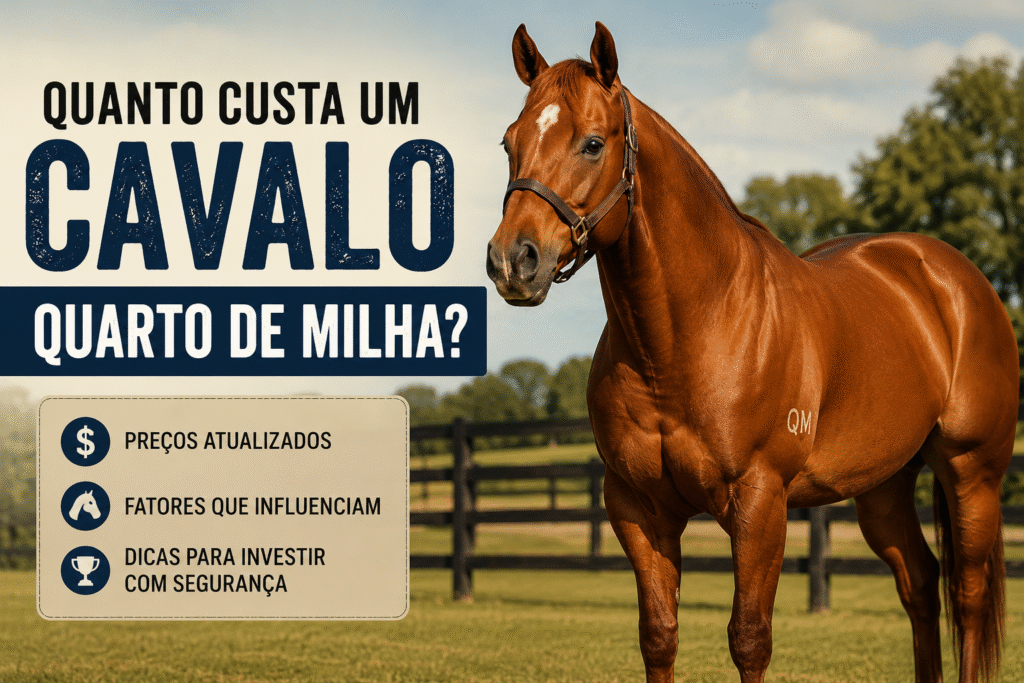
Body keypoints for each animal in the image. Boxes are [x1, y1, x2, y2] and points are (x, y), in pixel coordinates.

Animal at [486, 22, 1019, 683]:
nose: (513, 260)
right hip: (885, 486)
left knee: (966, 597)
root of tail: (957, 280)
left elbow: (749, 638)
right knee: (920, 583)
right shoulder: (637, 506)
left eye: (590, 143)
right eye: (509, 142)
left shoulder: (760, 502)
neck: (685, 337)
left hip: (972, 471)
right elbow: (658, 636)